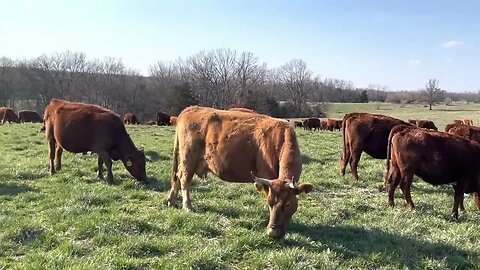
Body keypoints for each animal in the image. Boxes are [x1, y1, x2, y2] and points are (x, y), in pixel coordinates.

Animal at [167, 106, 314, 238]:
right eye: (270, 202)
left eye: (288, 204)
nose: (272, 232)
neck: (280, 139)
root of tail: (190, 109)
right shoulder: (266, 177)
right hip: (188, 160)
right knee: (184, 180)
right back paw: (187, 206)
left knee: (177, 176)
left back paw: (171, 200)